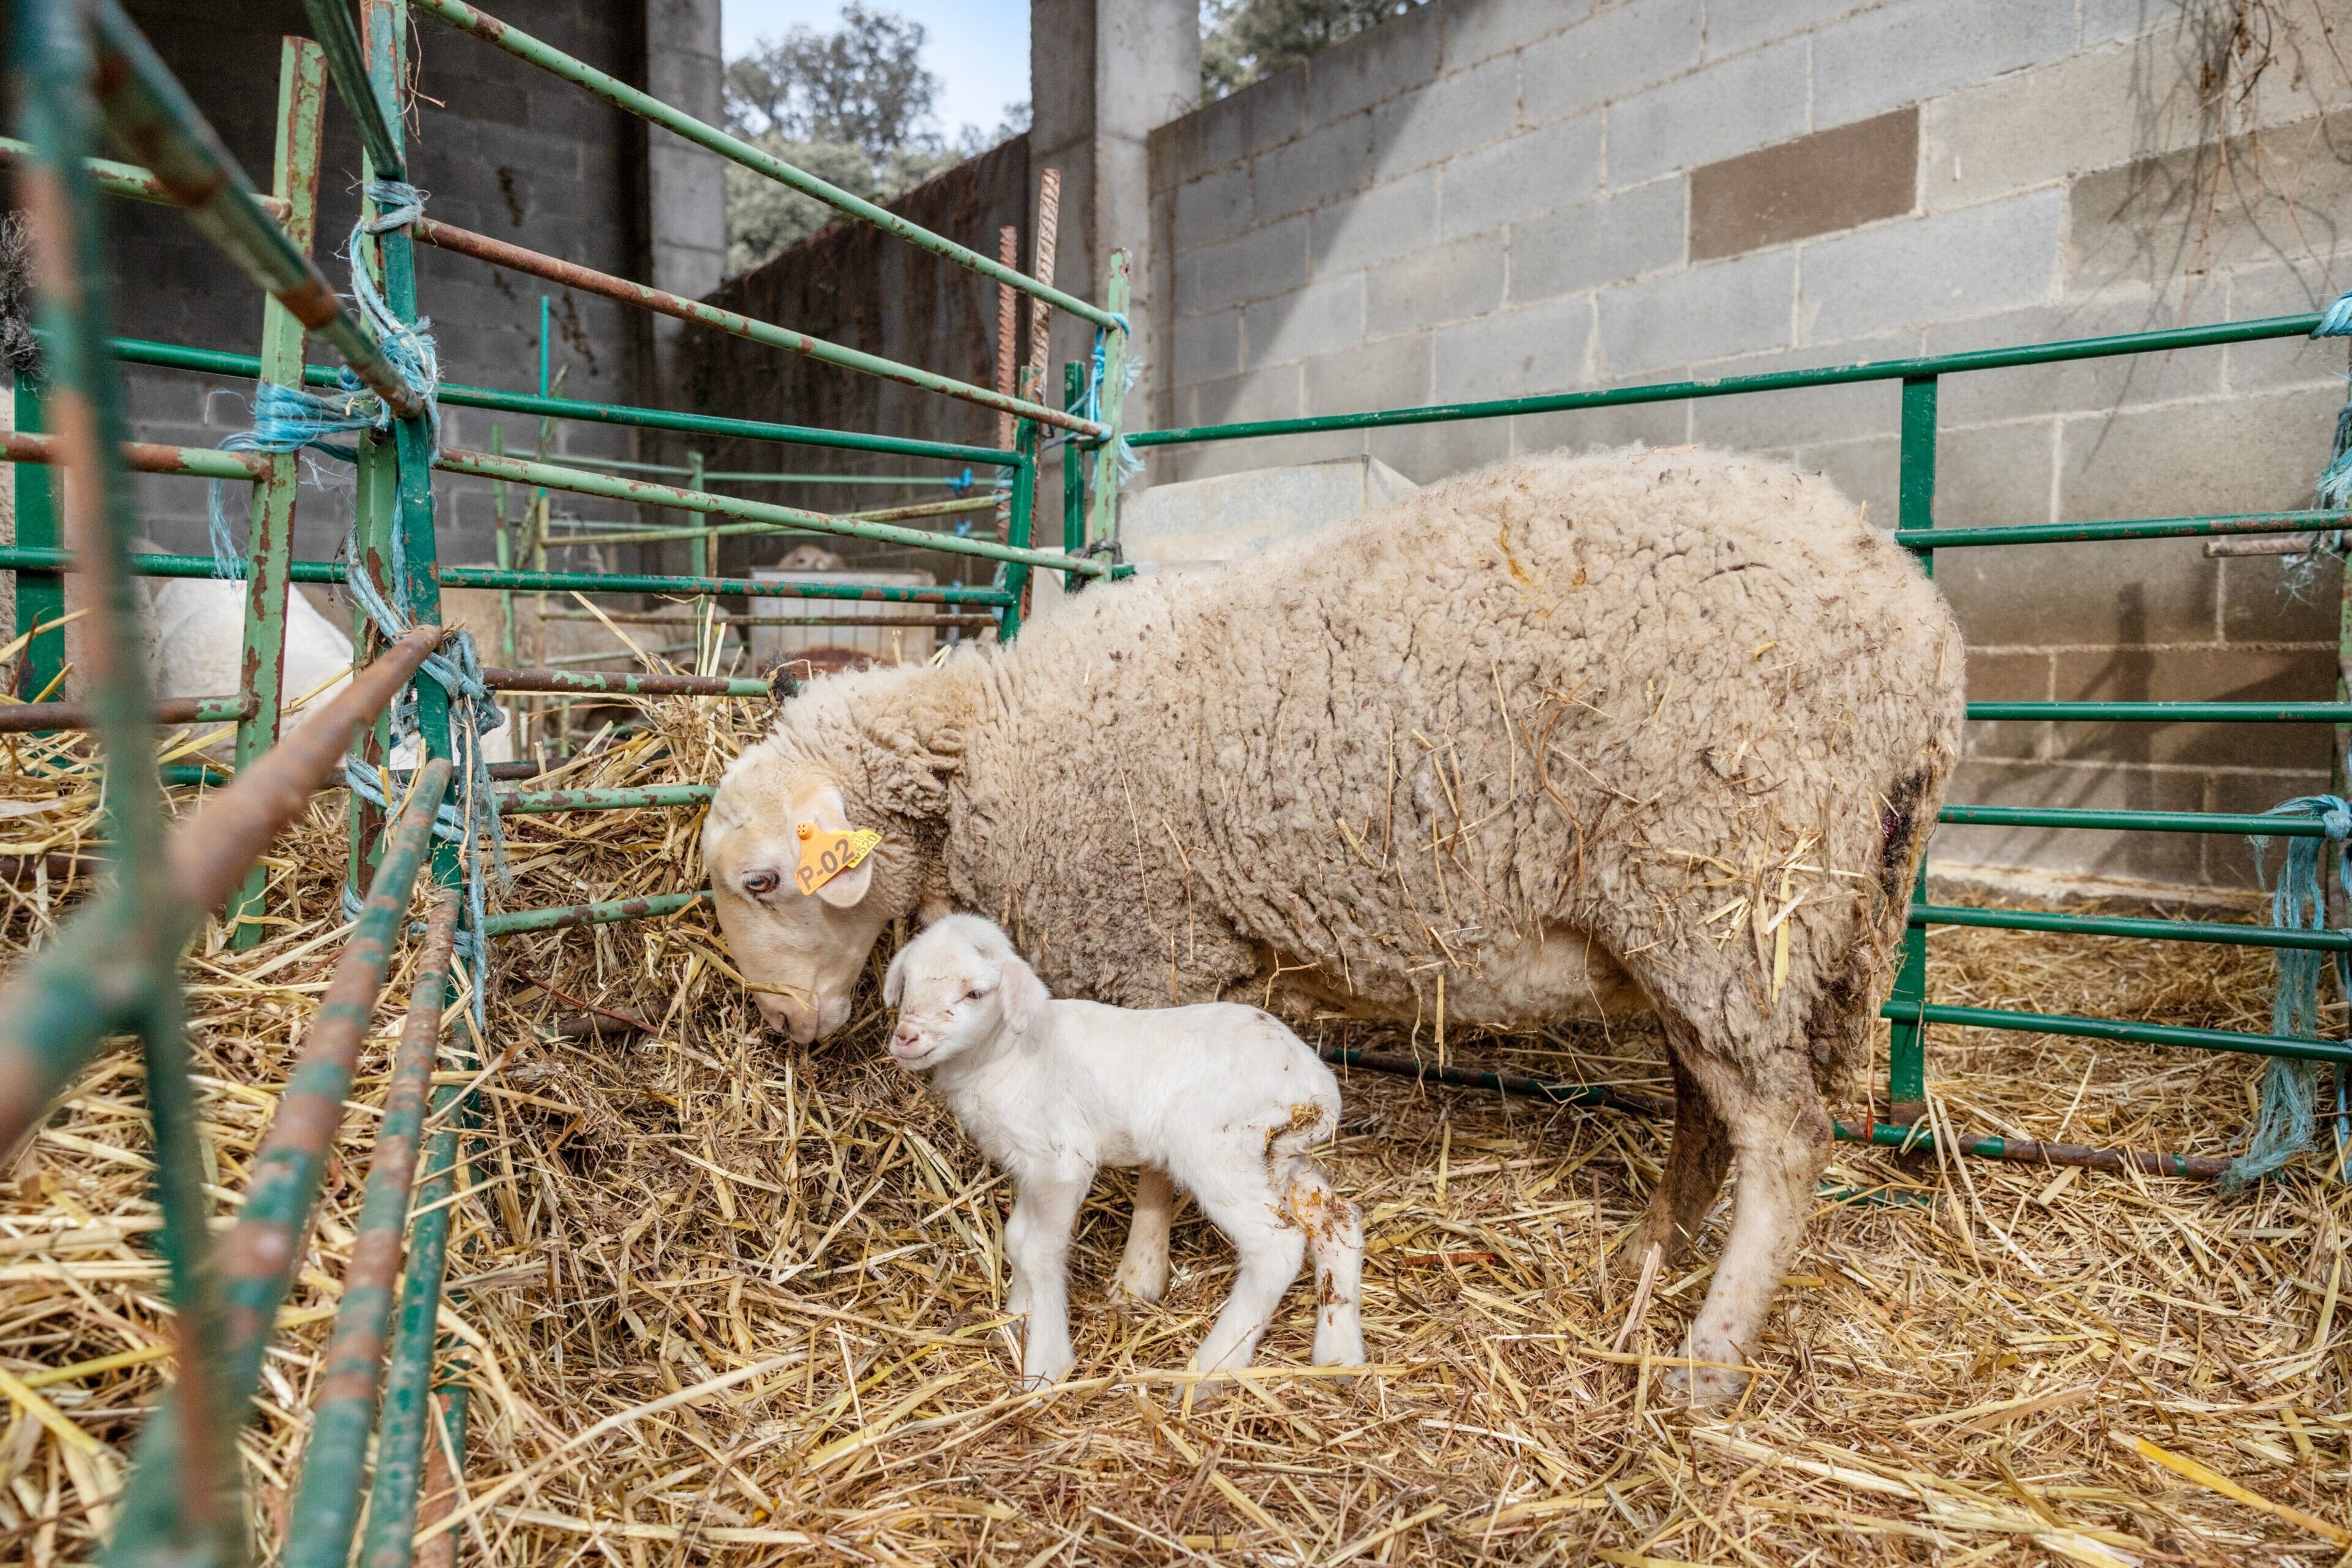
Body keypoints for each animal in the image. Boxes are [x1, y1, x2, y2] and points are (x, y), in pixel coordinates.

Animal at [882, 912, 1366, 1386]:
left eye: (975, 993)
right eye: (907, 980)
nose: (906, 1037)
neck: (1007, 1054)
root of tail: (1316, 1083)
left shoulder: (1062, 1161)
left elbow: (1039, 1252)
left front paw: (1046, 1364)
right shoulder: (1028, 1165)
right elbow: (1018, 1241)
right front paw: (1021, 1314)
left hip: (1216, 1148)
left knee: (1276, 1244)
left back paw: (1210, 1370)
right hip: (1279, 1152)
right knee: (1336, 1219)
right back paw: (1339, 1354)